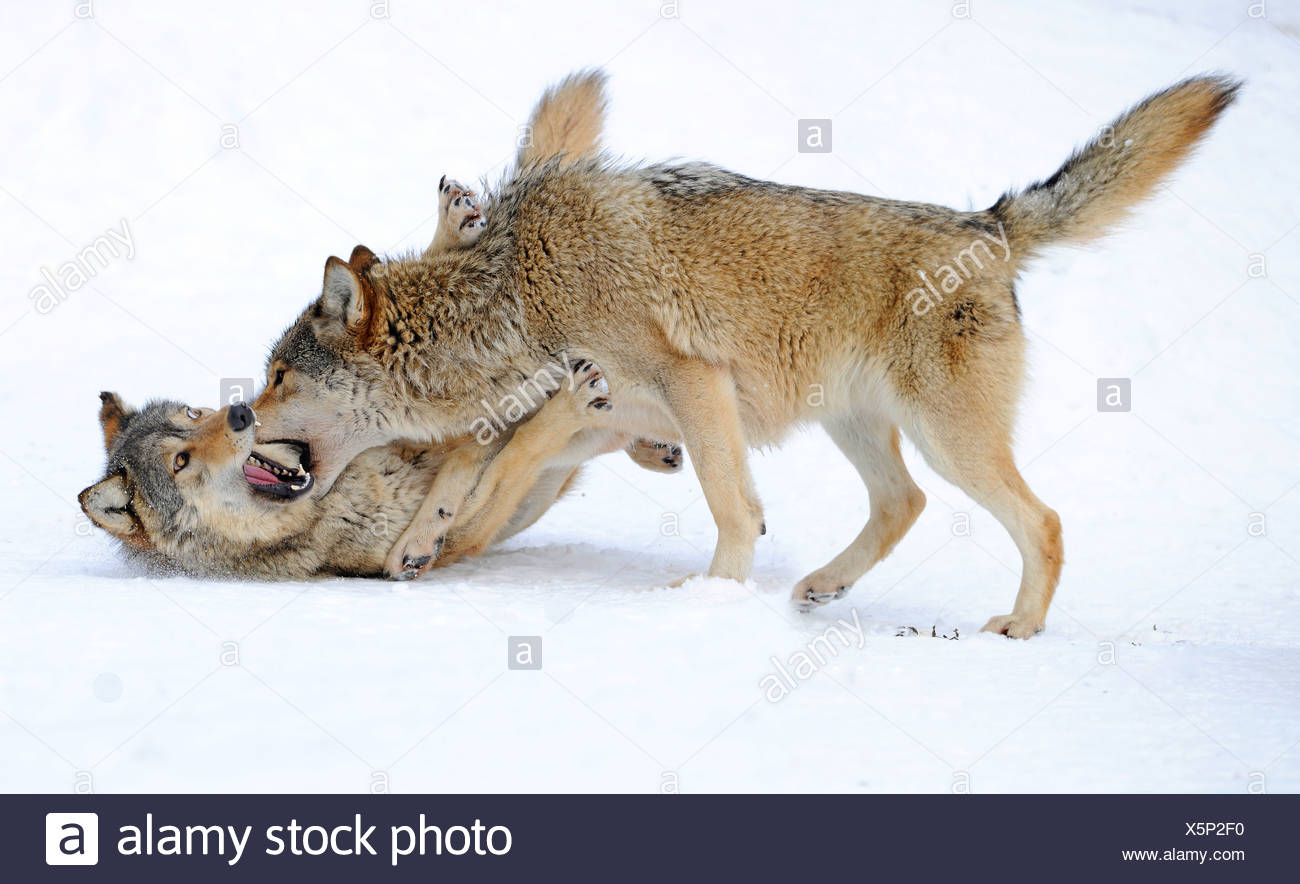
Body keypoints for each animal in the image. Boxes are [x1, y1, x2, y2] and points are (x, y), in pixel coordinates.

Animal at [252, 73, 1239, 637]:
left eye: (275, 376)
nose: (235, 412)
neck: (517, 291)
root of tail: (989, 224)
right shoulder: (598, 410)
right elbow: (473, 464)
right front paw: (419, 545)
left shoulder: (688, 386)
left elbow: (730, 504)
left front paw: (713, 598)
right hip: (864, 429)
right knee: (905, 505)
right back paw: (821, 591)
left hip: (948, 439)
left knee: (1044, 521)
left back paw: (1018, 630)